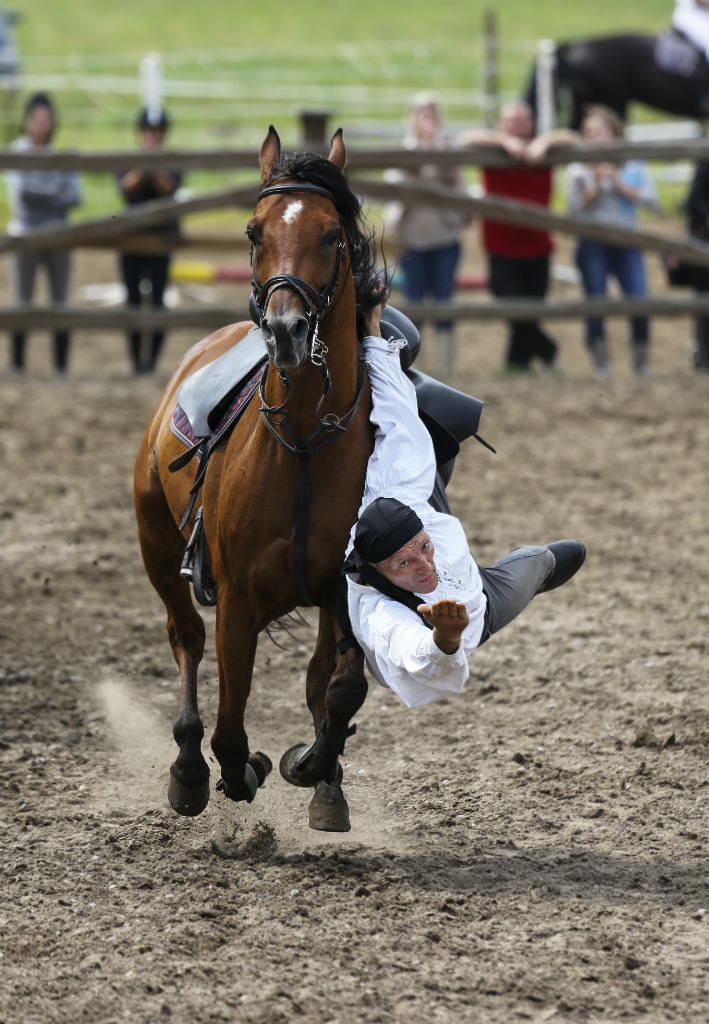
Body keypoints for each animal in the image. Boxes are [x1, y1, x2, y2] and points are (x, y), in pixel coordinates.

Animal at [135, 128, 385, 831]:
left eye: (331, 235)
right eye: (252, 231)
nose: (285, 330)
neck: (302, 443)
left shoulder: (345, 589)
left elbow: (340, 686)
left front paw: (316, 768)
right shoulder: (238, 600)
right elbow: (229, 725)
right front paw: (241, 768)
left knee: (318, 675)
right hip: (157, 547)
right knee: (186, 640)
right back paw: (189, 770)